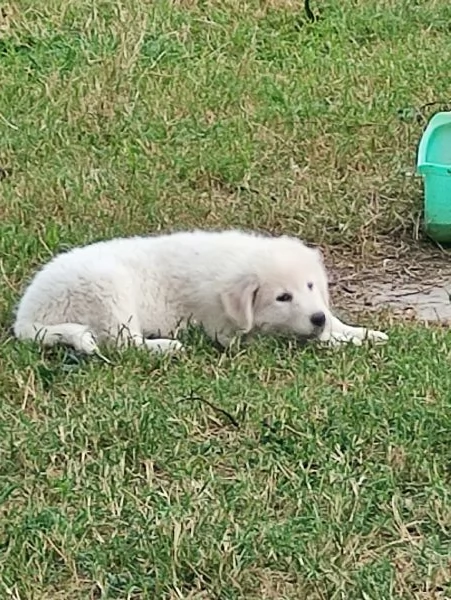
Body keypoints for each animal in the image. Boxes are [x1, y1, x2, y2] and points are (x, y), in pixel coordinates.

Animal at [14, 229, 388, 352]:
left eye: (311, 286)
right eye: (283, 297)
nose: (317, 318)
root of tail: (25, 317)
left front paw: (364, 332)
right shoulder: (229, 332)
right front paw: (339, 340)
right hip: (108, 288)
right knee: (124, 343)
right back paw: (165, 347)